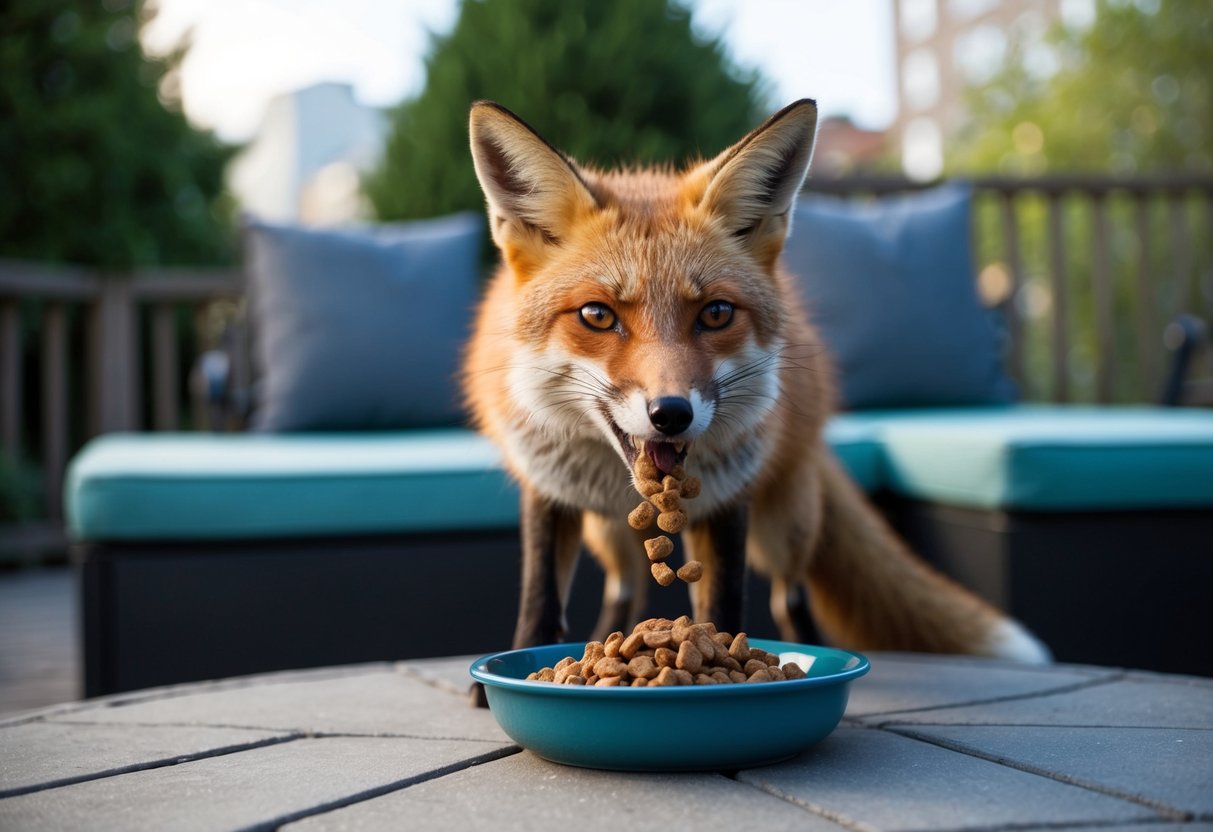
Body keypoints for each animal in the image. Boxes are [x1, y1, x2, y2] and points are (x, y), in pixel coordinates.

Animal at [463, 99, 1051, 684]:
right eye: (597, 315)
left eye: (716, 313)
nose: (671, 413)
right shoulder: (548, 491)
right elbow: (540, 601)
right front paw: (505, 678)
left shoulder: (729, 501)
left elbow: (723, 605)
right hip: (608, 535)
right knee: (623, 588)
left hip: (784, 527)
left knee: (791, 595)